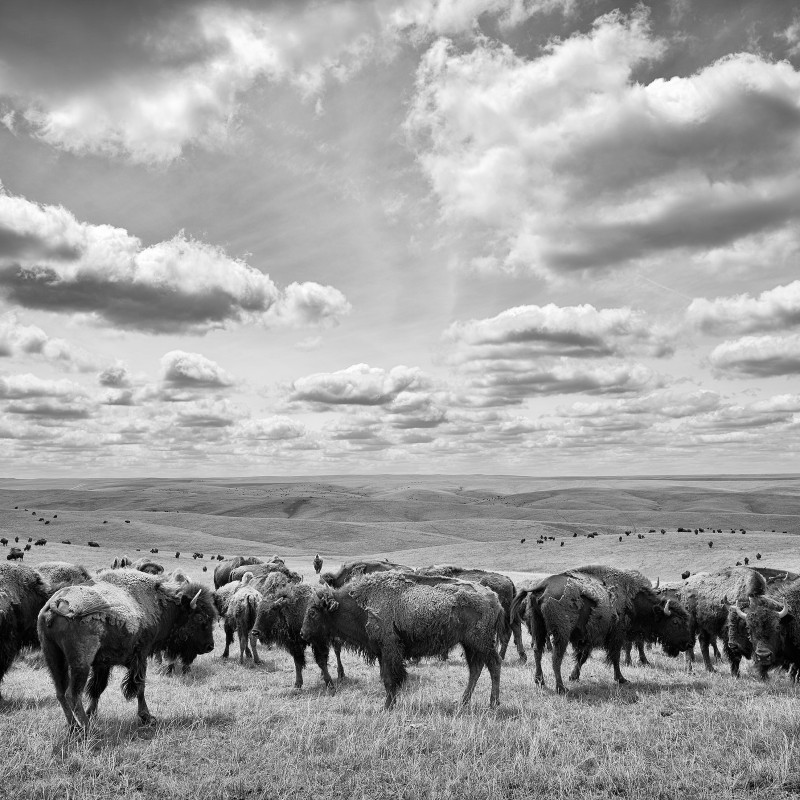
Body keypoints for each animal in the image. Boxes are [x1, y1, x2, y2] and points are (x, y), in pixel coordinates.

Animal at [38, 569, 217, 731]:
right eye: (200, 617)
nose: (210, 646)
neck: (160, 604)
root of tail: (57, 602)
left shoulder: (103, 664)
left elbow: (97, 689)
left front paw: (92, 713)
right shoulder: (141, 656)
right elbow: (140, 687)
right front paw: (147, 717)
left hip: (53, 657)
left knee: (60, 692)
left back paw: (74, 727)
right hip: (81, 663)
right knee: (72, 694)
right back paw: (89, 729)